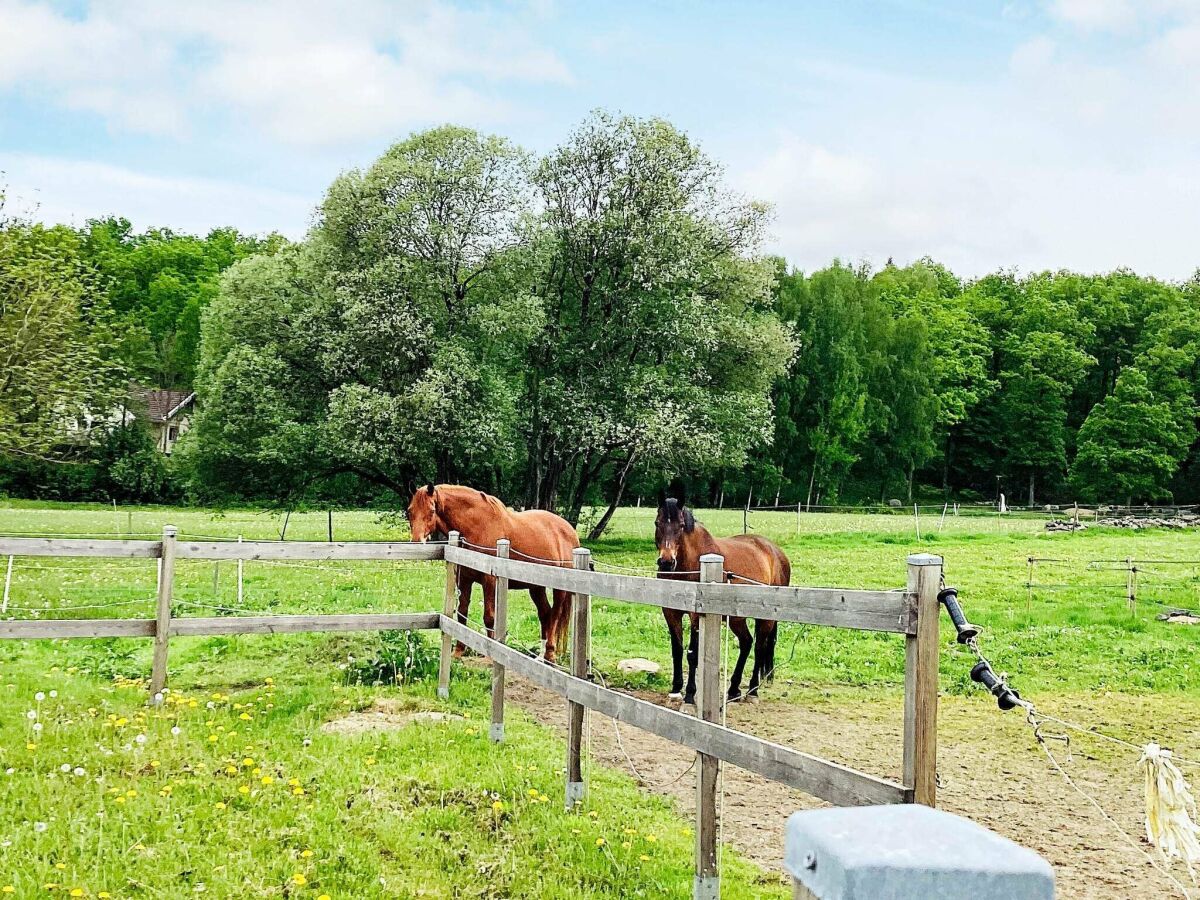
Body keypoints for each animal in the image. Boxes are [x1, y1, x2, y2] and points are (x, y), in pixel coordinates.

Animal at [405, 487, 578, 662]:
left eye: (432, 510)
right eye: (409, 511)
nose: (416, 542)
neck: (478, 526)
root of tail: (570, 531)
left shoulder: (490, 581)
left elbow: (489, 617)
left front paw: (489, 655)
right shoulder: (464, 580)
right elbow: (462, 613)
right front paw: (458, 652)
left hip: (560, 589)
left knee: (555, 615)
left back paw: (550, 654)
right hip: (536, 587)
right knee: (545, 614)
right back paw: (540, 657)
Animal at [657, 496, 787, 710]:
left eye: (681, 526)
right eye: (657, 523)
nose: (667, 562)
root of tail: (775, 551)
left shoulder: (696, 615)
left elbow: (693, 654)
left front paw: (690, 697)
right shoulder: (670, 611)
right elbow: (677, 650)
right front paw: (675, 691)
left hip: (765, 618)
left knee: (759, 647)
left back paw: (752, 692)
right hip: (735, 618)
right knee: (746, 642)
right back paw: (733, 690)